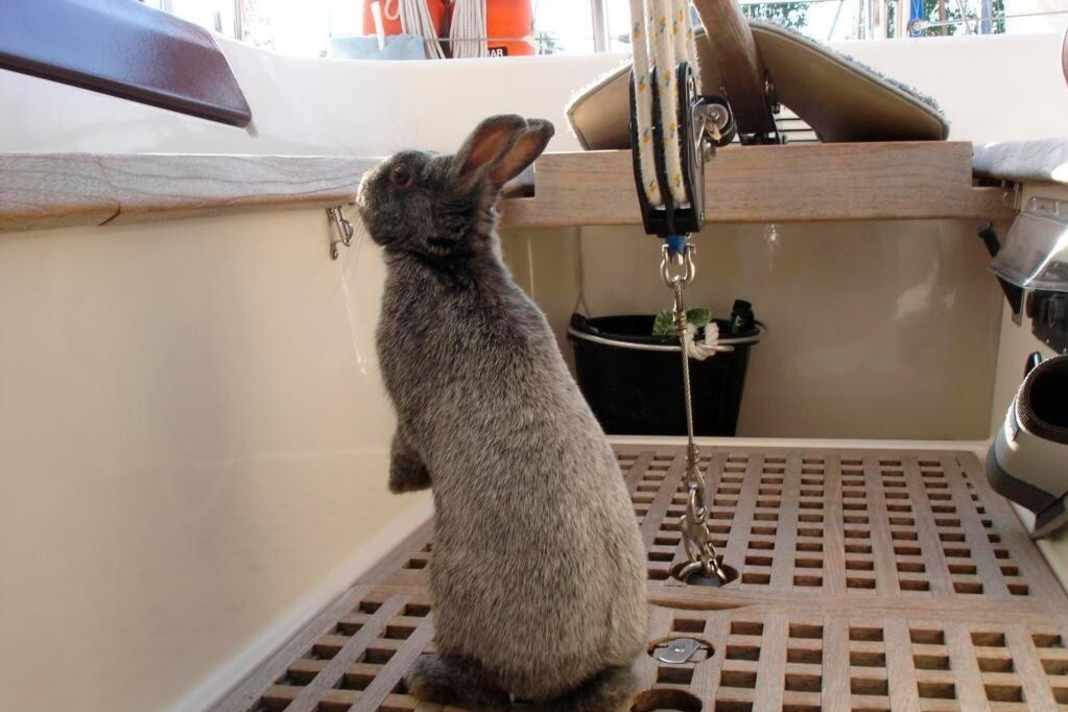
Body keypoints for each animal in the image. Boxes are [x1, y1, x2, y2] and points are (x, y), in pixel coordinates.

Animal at [355, 114, 648, 712]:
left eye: (400, 176)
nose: (360, 187)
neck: (448, 261)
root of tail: (578, 675)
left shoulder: (405, 406)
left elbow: (405, 444)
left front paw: (398, 483)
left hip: (453, 597)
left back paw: (427, 678)